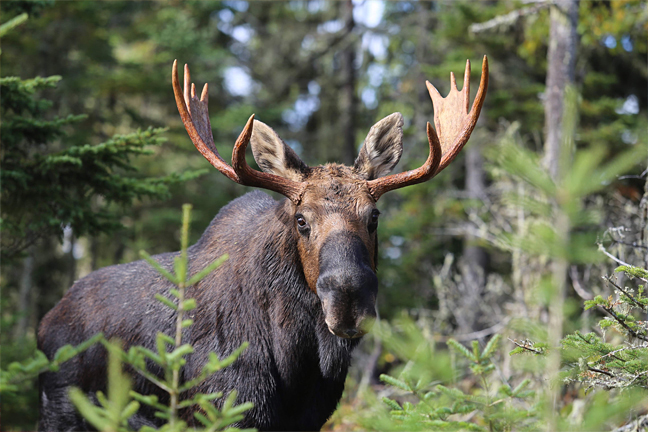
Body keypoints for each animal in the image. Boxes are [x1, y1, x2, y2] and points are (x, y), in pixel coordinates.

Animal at [38, 56, 488, 431]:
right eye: (301, 220)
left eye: (373, 217)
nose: (348, 301)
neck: (297, 358)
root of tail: (45, 324)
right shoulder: (224, 407)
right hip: (62, 411)